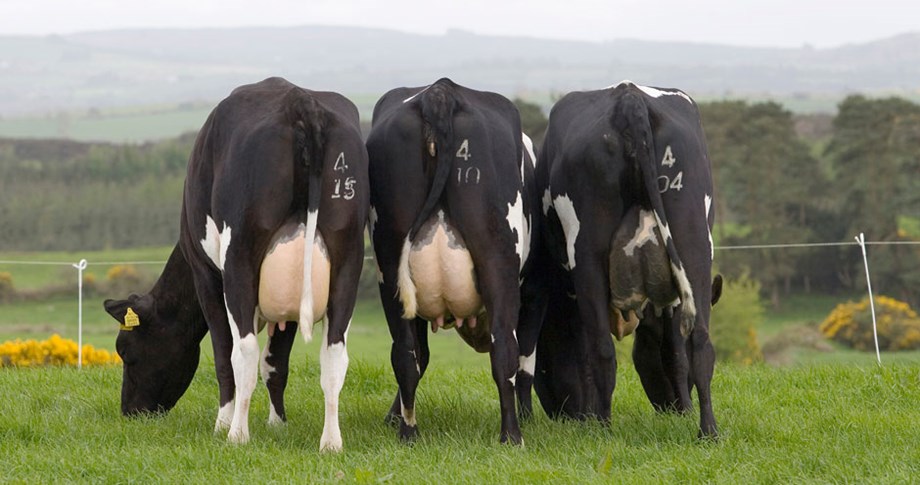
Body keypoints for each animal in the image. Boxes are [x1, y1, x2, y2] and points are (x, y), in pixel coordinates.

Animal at [101, 75, 370, 450]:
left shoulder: (206, 277)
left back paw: (236, 434)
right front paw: (277, 423)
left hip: (239, 258)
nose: (130, 411)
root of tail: (300, 102)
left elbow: (224, 354)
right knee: (333, 354)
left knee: (243, 351)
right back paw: (330, 442)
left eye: (125, 350)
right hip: (348, 259)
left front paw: (223, 423)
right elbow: (276, 362)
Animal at [364, 77, 540, 444]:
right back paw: (512, 435)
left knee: (405, 353)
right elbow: (527, 359)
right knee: (505, 348)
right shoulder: (537, 288)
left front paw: (393, 416)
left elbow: (420, 354)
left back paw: (408, 432)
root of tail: (440, 93)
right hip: (499, 258)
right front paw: (529, 416)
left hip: (390, 264)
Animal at [536, 80, 724, 438]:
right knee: (701, 342)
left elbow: (584, 349)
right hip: (693, 244)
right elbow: (676, 351)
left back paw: (602, 427)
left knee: (601, 349)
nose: (675, 407)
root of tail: (629, 96)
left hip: (587, 251)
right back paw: (708, 431)